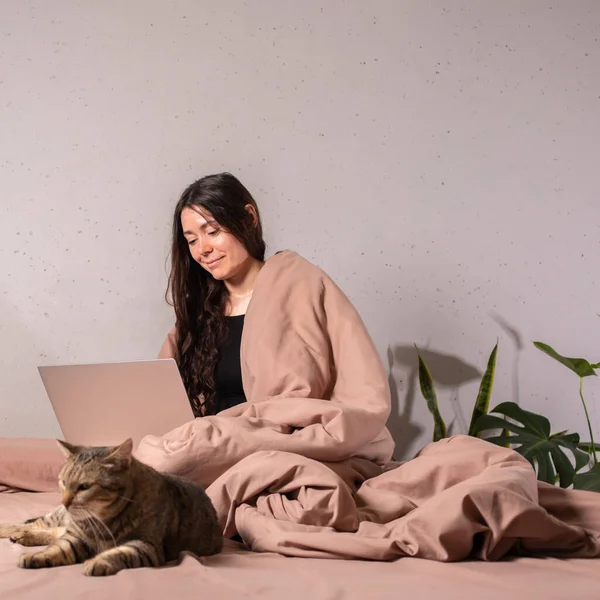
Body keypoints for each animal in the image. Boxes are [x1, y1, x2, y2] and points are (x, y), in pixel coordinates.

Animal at [0, 436, 224, 576]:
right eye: (63, 482)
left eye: (84, 486)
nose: (64, 501)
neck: (101, 521)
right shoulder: (76, 537)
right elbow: (57, 549)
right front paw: (37, 556)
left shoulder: (145, 546)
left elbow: (120, 553)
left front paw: (98, 561)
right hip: (57, 517)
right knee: (37, 523)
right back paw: (11, 530)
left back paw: (22, 535)